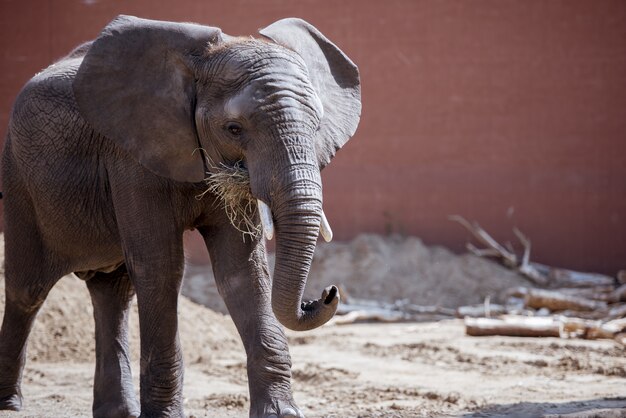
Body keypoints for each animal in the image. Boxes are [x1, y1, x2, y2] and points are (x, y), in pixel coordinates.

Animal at [0, 14, 360, 418]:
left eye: (317, 128)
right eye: (233, 129)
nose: (327, 293)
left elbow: (242, 271)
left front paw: (280, 414)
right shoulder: (132, 157)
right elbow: (161, 267)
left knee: (113, 293)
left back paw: (117, 412)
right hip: (18, 179)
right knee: (27, 289)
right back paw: (9, 403)